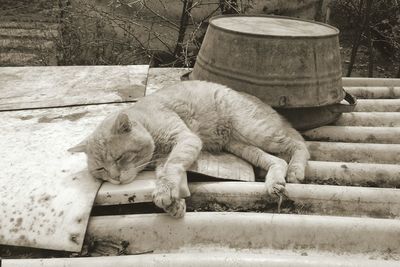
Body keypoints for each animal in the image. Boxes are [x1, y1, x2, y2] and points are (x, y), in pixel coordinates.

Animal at [69, 81, 310, 218]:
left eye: (119, 158)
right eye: (101, 169)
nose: (116, 179)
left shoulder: (184, 140)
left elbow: (172, 168)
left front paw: (165, 193)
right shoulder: (163, 160)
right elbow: (166, 174)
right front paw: (173, 205)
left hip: (255, 131)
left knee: (300, 145)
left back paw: (296, 170)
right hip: (240, 145)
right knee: (278, 160)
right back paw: (274, 183)